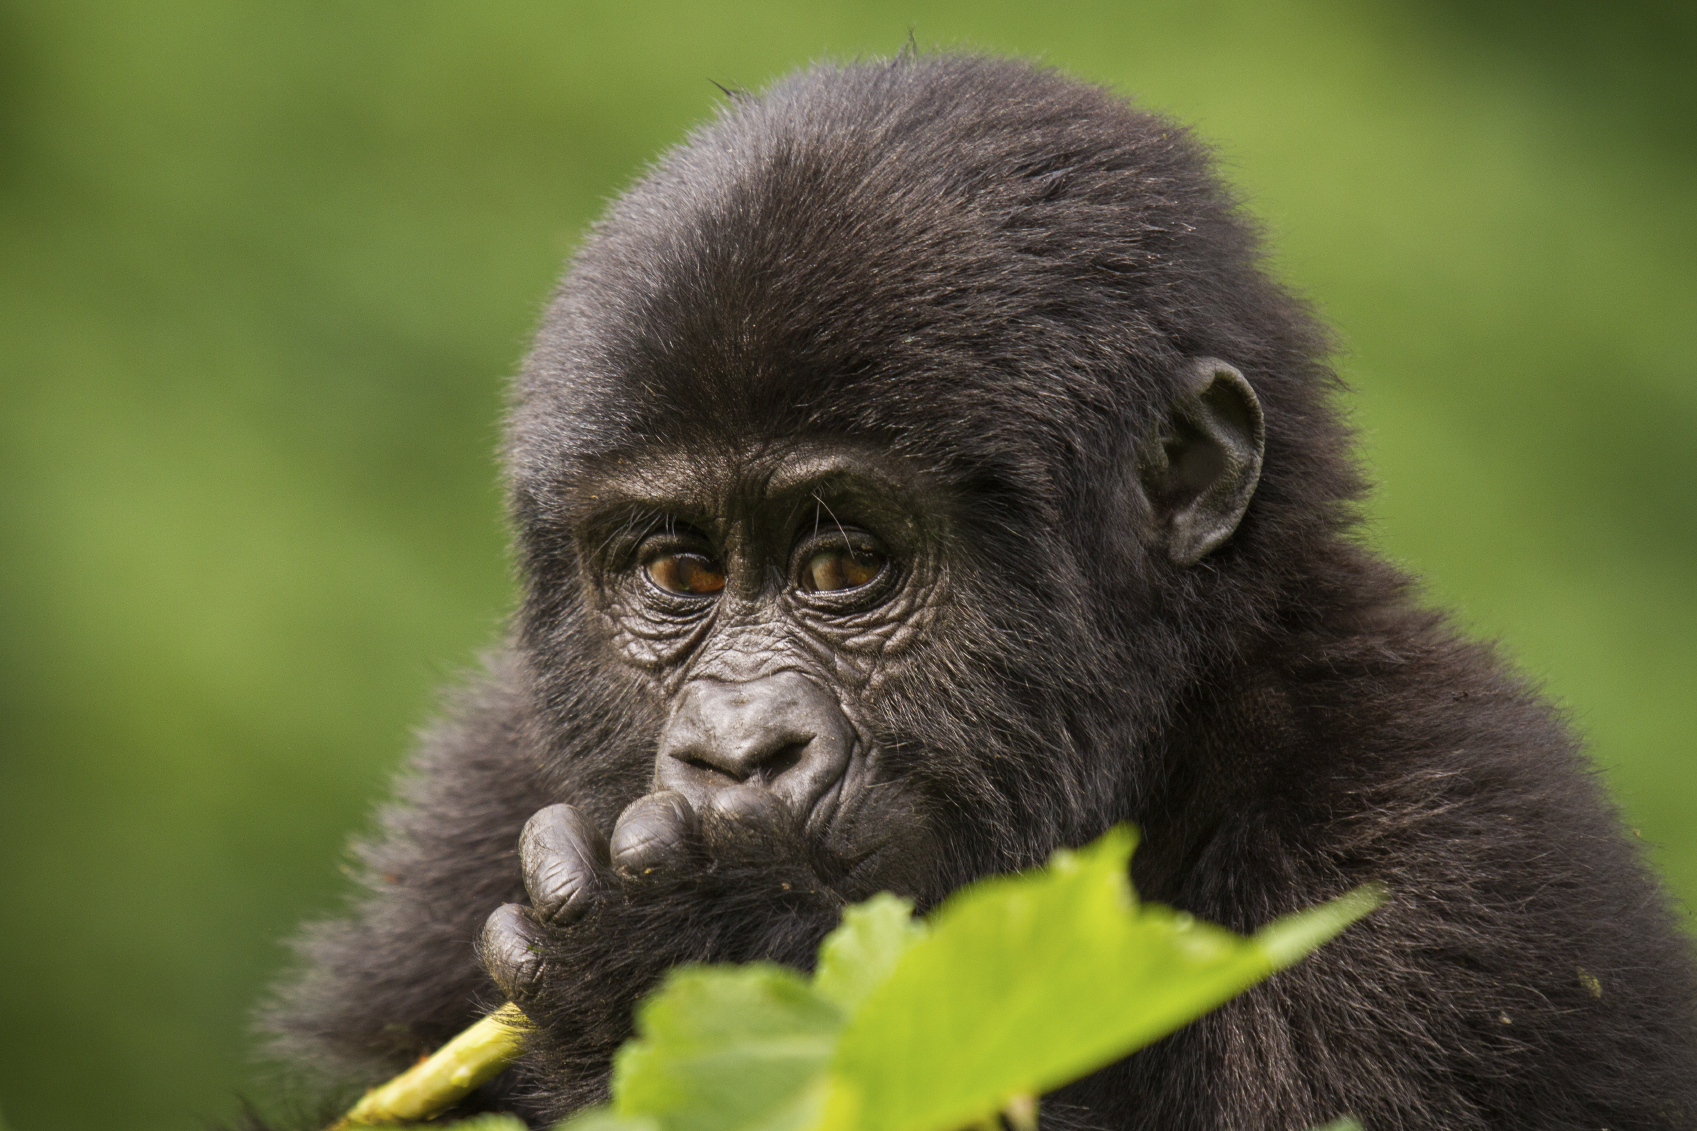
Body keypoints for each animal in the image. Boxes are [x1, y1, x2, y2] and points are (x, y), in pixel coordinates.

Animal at [254, 55, 1697, 1127]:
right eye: (679, 569)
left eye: (846, 565)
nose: (734, 755)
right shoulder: (480, 789)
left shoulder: (1452, 867)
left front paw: (695, 951)